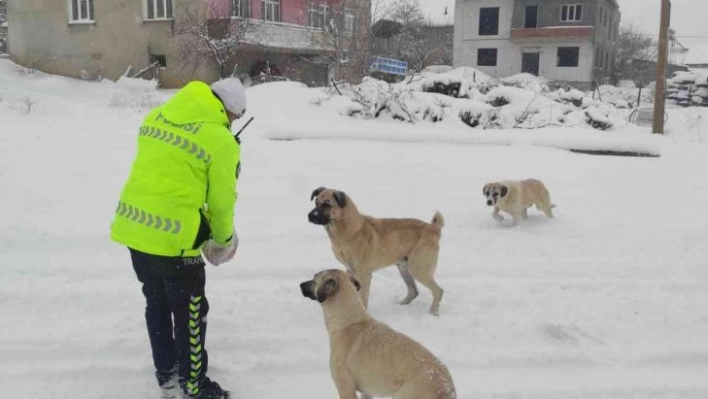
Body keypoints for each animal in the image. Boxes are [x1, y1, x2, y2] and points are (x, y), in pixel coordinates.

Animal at [300, 268, 460, 399]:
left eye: (314, 279)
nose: (300, 284)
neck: (349, 321)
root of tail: (445, 387)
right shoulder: (366, 392)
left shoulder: (345, 387)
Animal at [308, 187, 446, 316]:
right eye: (316, 202)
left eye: (327, 204)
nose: (309, 216)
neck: (349, 230)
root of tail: (433, 229)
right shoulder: (350, 270)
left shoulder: (364, 275)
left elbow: (363, 298)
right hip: (403, 268)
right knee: (414, 291)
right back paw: (401, 304)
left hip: (419, 269)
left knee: (438, 291)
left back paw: (432, 312)